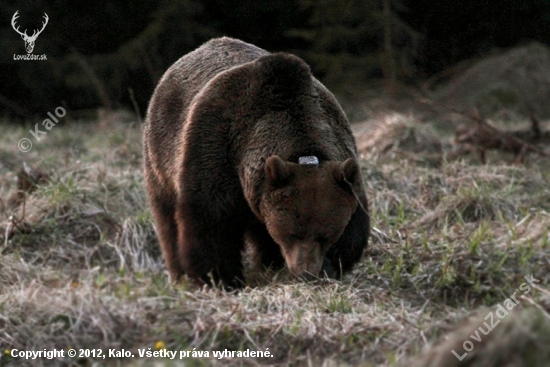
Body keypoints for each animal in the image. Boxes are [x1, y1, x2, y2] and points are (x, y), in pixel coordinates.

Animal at [144, 38, 374, 290]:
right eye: (291, 233)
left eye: (327, 235)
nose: (305, 273)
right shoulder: (214, 149)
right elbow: (210, 222)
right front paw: (220, 278)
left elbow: (354, 227)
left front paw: (330, 266)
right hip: (162, 151)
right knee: (167, 217)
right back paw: (178, 274)